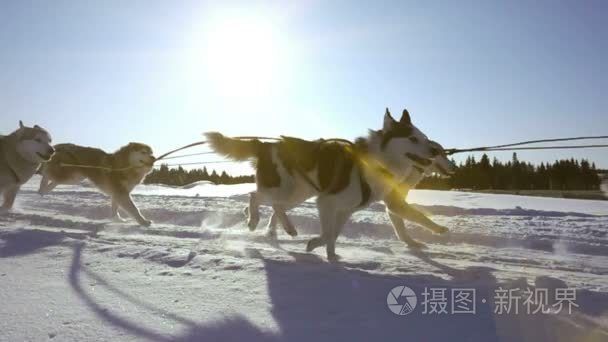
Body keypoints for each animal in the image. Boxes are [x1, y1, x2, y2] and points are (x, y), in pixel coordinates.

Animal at [207, 107, 454, 260]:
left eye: (425, 138)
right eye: (412, 139)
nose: (434, 151)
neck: (374, 163)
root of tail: (266, 145)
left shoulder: (344, 209)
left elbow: (333, 235)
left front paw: (332, 256)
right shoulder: (326, 202)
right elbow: (327, 234)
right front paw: (315, 245)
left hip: (300, 192)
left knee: (276, 206)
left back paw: (285, 227)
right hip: (287, 189)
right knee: (255, 195)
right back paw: (253, 220)